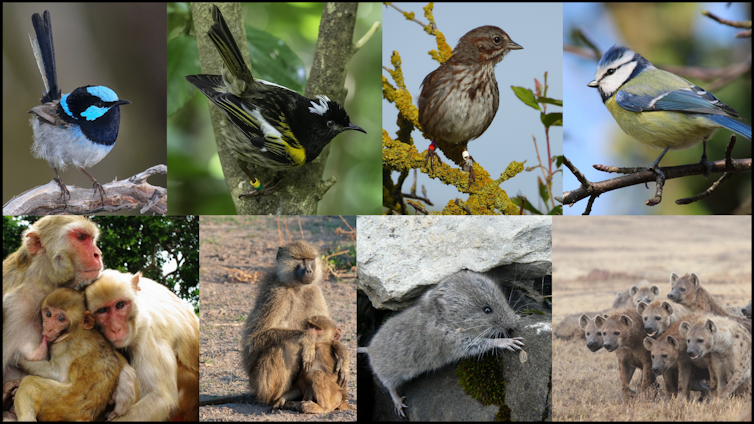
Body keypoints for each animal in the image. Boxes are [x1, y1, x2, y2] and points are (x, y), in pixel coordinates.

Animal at [11, 288, 137, 421]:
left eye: (61, 318)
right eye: (48, 314)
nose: (48, 328)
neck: (75, 330)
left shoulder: (64, 347)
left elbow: (56, 373)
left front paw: (18, 359)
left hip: (64, 403)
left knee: (30, 382)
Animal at [240, 240, 349, 407]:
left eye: (310, 259)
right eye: (299, 259)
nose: (309, 271)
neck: (297, 287)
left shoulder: (314, 291)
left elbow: (330, 334)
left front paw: (343, 354)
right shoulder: (276, 295)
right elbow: (254, 339)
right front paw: (307, 339)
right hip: (260, 383)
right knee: (280, 346)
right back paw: (277, 399)